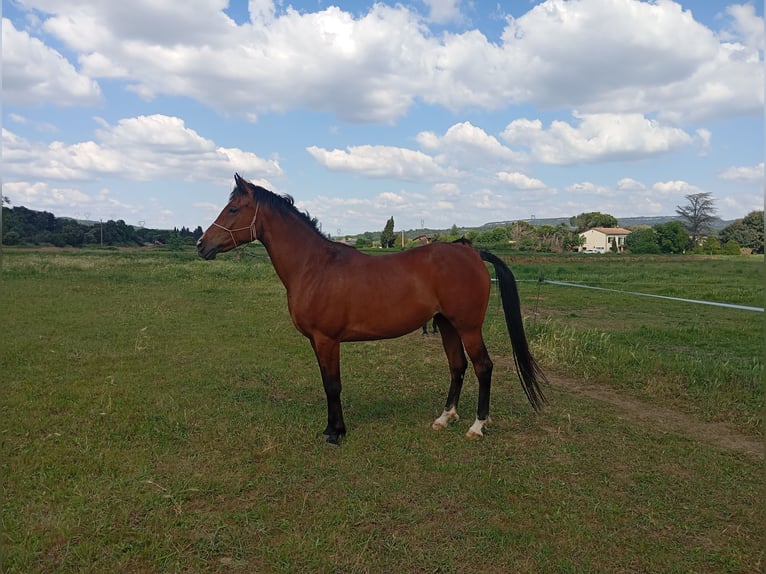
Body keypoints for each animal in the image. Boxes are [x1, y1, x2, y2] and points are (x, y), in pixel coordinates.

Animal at [197, 174, 546, 445]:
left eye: (233, 208)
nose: (202, 245)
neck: (314, 266)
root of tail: (470, 251)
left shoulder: (327, 340)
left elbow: (333, 385)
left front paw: (335, 433)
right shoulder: (317, 342)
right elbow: (327, 383)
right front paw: (331, 428)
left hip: (468, 326)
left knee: (483, 367)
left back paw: (477, 426)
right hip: (446, 324)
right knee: (457, 366)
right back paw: (444, 418)